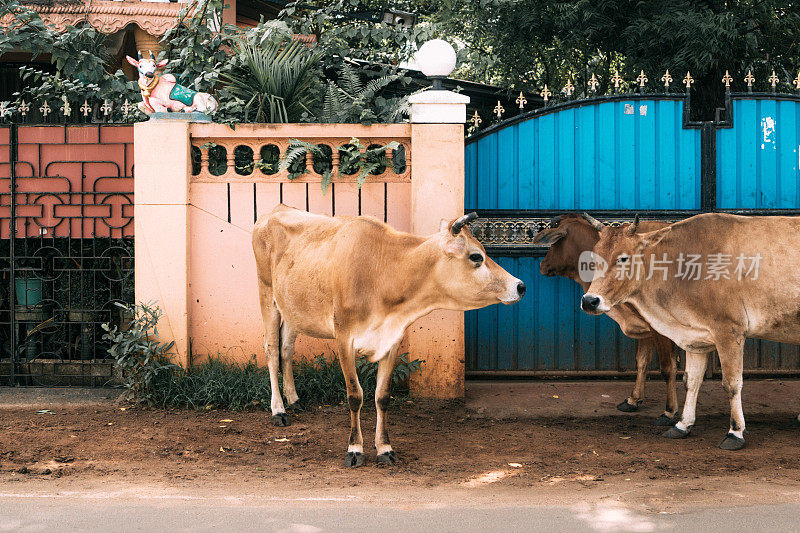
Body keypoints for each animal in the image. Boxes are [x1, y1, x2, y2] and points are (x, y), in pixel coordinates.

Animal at [252, 205, 524, 466]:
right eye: (476, 256)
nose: (520, 286)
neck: (383, 274)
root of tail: (274, 211)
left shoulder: (392, 341)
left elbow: (382, 396)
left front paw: (384, 449)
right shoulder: (344, 339)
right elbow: (355, 395)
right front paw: (354, 449)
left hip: (293, 310)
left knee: (287, 350)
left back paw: (294, 400)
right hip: (267, 295)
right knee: (272, 351)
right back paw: (278, 410)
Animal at [580, 212, 800, 448]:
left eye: (623, 258)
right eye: (594, 257)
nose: (590, 301)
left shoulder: (729, 331)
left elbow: (731, 383)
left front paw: (735, 432)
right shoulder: (695, 337)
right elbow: (691, 381)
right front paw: (682, 425)